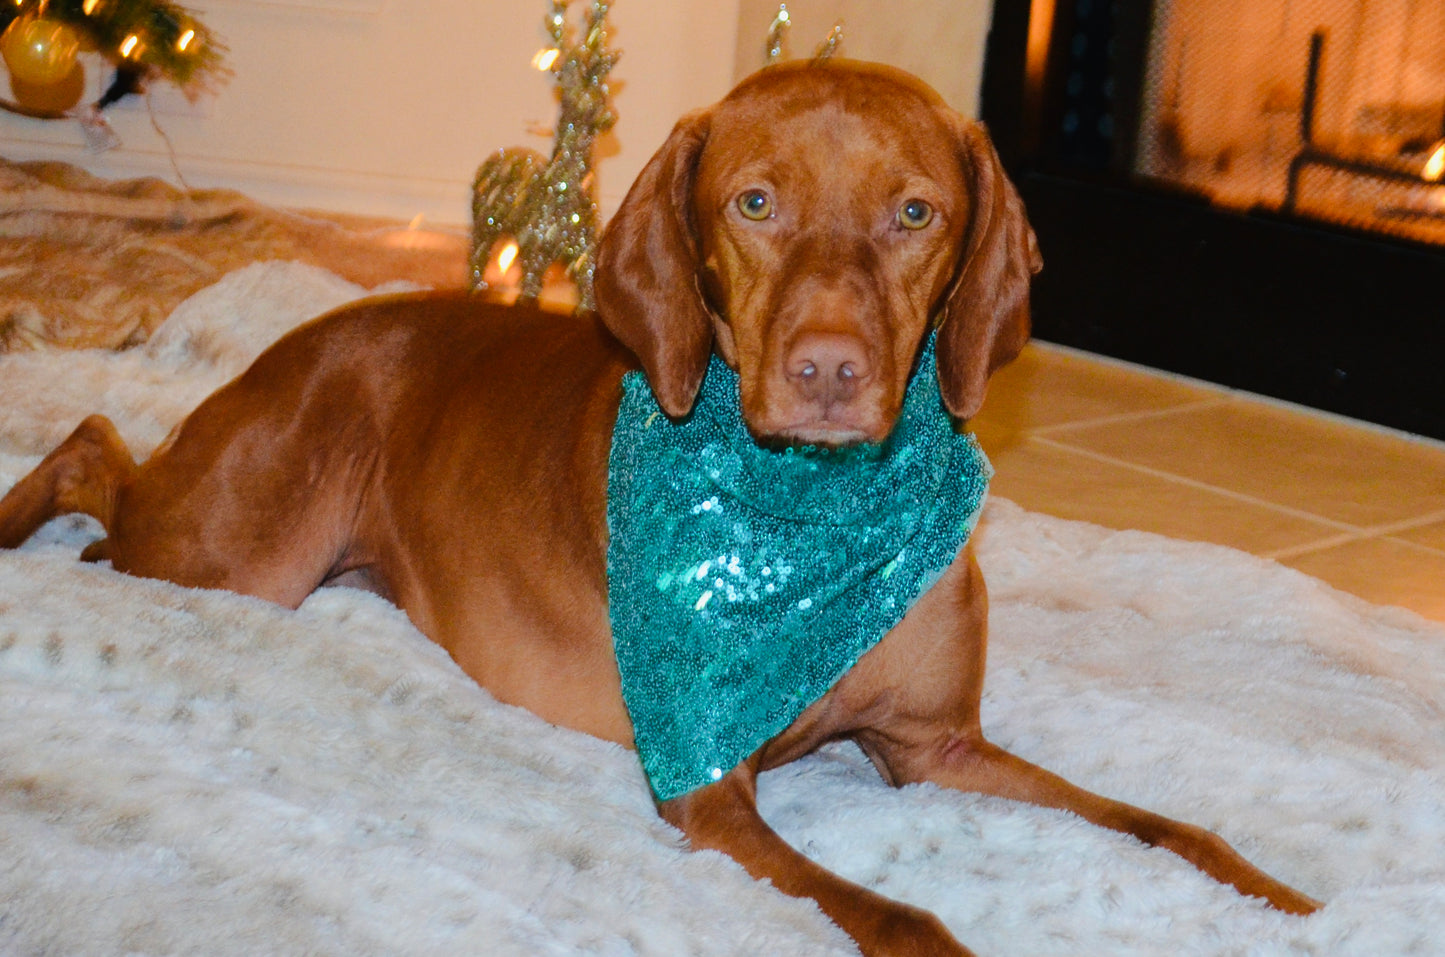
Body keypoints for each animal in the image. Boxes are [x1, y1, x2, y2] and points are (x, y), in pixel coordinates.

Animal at [0, 61, 1317, 957]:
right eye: (752, 204)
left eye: (914, 213)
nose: (828, 371)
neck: (812, 509)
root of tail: (319, 326)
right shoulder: (710, 788)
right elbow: (903, 921)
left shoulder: (935, 748)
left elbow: (1160, 826)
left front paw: (1278, 896)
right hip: (235, 551)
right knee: (89, 444)